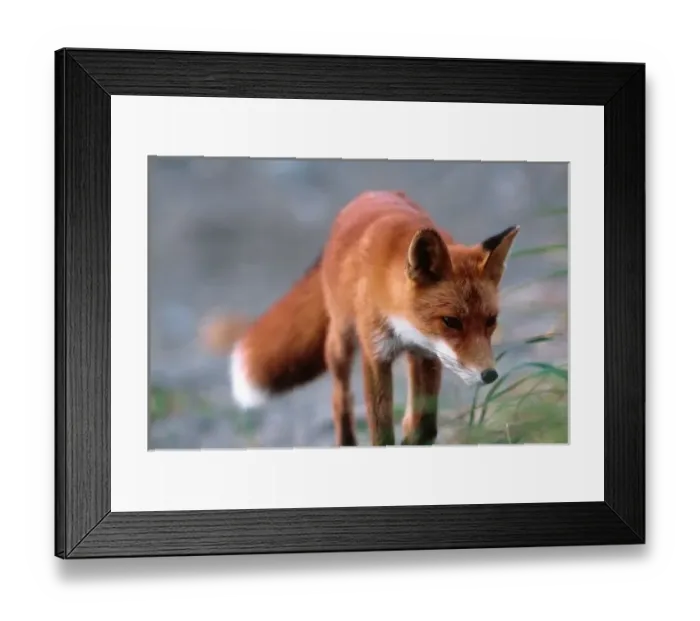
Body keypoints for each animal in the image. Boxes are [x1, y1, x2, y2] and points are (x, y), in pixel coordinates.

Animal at [200, 190, 519, 447]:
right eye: (451, 321)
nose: (489, 375)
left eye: (491, 321)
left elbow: (425, 423)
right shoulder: (376, 354)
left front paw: (412, 438)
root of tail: (367, 195)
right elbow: (381, 429)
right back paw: (346, 441)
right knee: (340, 399)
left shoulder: (428, 354)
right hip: (340, 343)